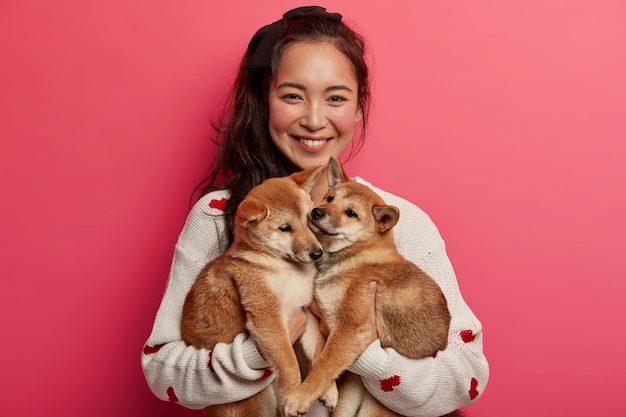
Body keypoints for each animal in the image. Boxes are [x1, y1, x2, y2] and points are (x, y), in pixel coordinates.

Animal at [180, 166, 324, 416]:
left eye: (310, 219)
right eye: (285, 228)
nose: (318, 253)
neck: (285, 267)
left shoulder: (304, 310)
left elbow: (316, 346)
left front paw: (327, 391)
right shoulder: (268, 317)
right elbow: (289, 363)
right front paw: (292, 394)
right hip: (255, 402)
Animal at [280, 156, 456, 416]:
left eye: (351, 213)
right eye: (329, 198)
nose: (317, 211)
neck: (355, 254)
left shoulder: (349, 328)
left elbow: (324, 364)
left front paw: (300, 398)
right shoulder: (314, 314)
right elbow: (319, 355)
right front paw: (327, 391)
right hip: (348, 401)